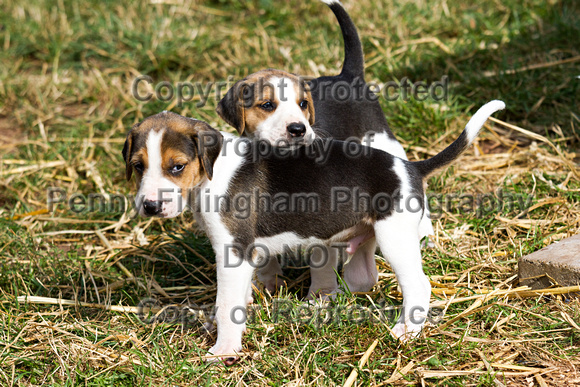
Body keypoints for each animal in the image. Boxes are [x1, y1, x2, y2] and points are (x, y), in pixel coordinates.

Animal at [123, 99, 508, 364]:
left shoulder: (233, 251)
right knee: (364, 277)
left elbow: (225, 303)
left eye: (177, 167)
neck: (211, 172)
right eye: (138, 166)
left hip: (394, 238)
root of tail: (410, 166)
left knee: (419, 284)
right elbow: (240, 296)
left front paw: (224, 351)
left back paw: (407, 331)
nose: (150, 206)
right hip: (365, 245)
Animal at [218, 0, 436, 298]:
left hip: (383, 142)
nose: (298, 129)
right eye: (267, 105)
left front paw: (319, 295)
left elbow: (320, 258)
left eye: (303, 104)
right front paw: (270, 283)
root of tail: (348, 76)